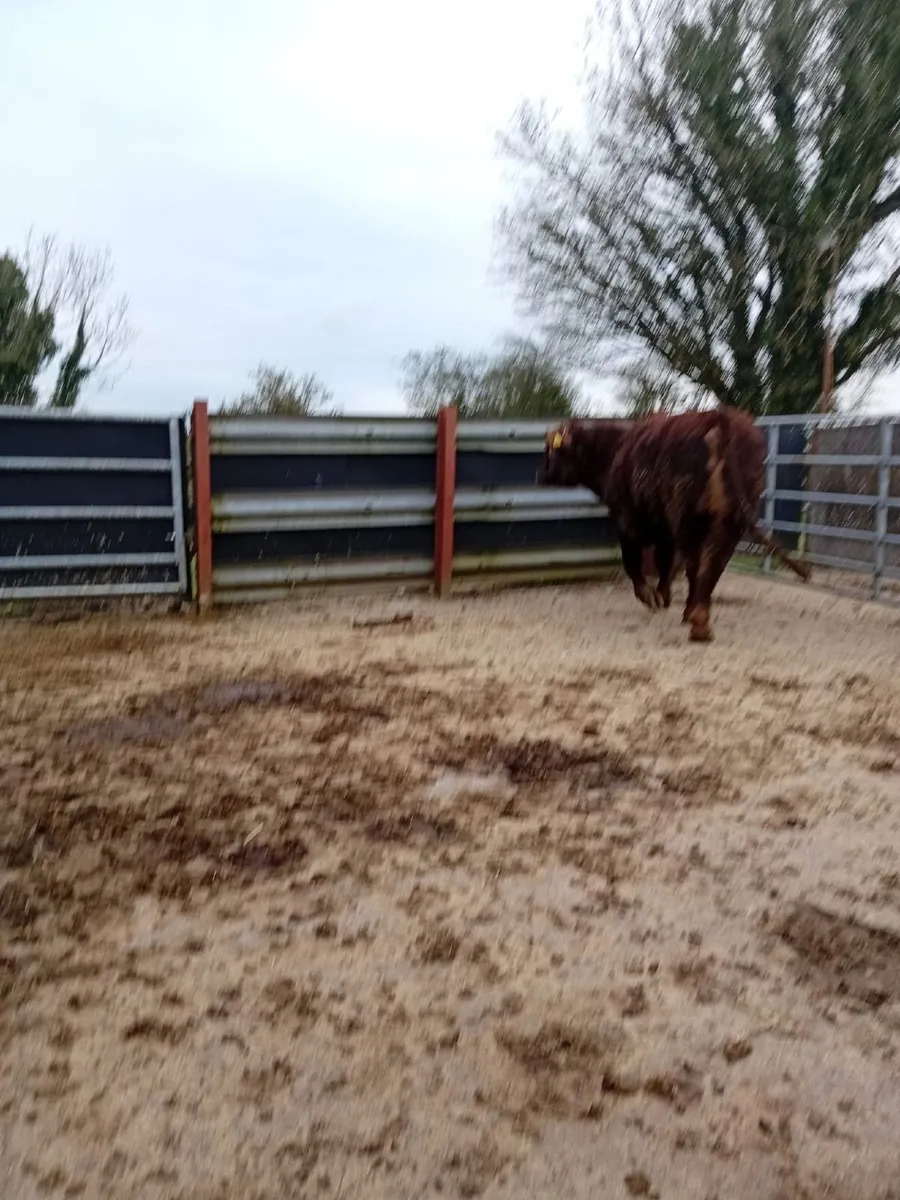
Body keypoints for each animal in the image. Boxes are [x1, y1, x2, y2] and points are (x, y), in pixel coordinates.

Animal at [538, 406, 810, 642]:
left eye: (550, 451)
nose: (542, 475)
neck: (616, 450)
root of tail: (718, 416)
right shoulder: (664, 531)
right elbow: (665, 562)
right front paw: (663, 595)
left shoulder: (626, 522)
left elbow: (635, 563)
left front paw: (651, 597)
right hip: (730, 519)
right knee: (713, 563)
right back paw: (698, 617)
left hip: (689, 517)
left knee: (696, 564)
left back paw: (695, 619)